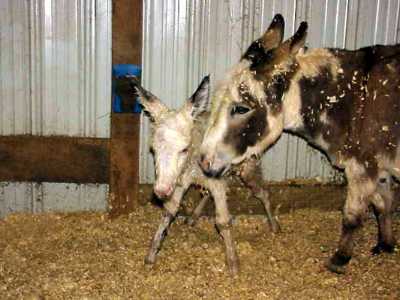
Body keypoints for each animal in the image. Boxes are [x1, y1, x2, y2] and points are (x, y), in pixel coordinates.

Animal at [133, 76, 280, 276]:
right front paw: (151, 253)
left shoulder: (213, 180)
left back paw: (274, 225)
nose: (161, 191)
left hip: (249, 169)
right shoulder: (181, 181)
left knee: (263, 193)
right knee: (208, 192)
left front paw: (233, 264)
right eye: (153, 150)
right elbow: (169, 211)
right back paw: (193, 217)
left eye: (184, 149)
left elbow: (223, 221)